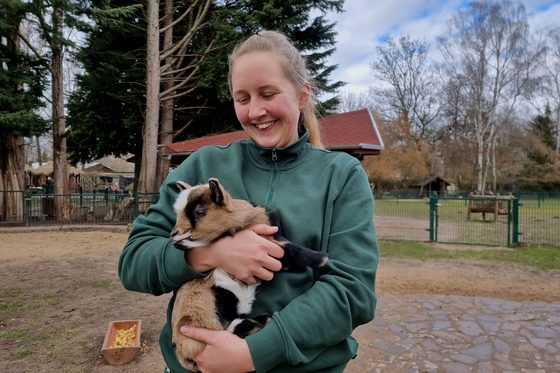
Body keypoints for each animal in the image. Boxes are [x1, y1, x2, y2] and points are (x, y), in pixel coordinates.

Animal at [171, 177, 328, 370]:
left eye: (200, 211)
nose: (173, 235)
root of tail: (184, 356)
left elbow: (288, 249)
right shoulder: (271, 251)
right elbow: (291, 252)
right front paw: (322, 258)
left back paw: (263, 319)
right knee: (230, 329)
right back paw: (256, 323)